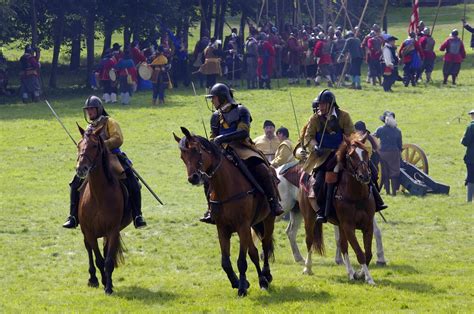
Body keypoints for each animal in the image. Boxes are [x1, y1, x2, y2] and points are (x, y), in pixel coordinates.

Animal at [76, 124, 132, 294]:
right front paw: (101, 280)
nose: (81, 169)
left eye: (94, 146)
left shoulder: (113, 231)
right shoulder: (89, 232)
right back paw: (93, 278)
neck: (99, 195)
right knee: (89, 250)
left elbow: (108, 260)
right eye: (78, 145)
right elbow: (99, 259)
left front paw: (109, 286)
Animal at [175, 126, 276, 296]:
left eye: (196, 150)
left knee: (265, 245)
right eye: (182, 157)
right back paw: (261, 279)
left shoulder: (242, 226)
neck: (226, 187)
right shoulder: (222, 228)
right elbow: (225, 262)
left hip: (267, 220)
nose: (193, 178)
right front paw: (238, 282)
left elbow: (241, 261)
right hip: (251, 226)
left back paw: (266, 275)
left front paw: (242, 288)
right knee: (254, 252)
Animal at [300, 132, 374, 284]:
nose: (365, 176)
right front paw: (369, 278)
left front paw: (360, 274)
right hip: (309, 218)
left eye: (365, 152)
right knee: (309, 240)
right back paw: (307, 268)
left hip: (339, 226)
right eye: (351, 156)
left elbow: (368, 253)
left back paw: (350, 273)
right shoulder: (348, 226)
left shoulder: (368, 226)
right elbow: (360, 253)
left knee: (343, 246)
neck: (357, 196)